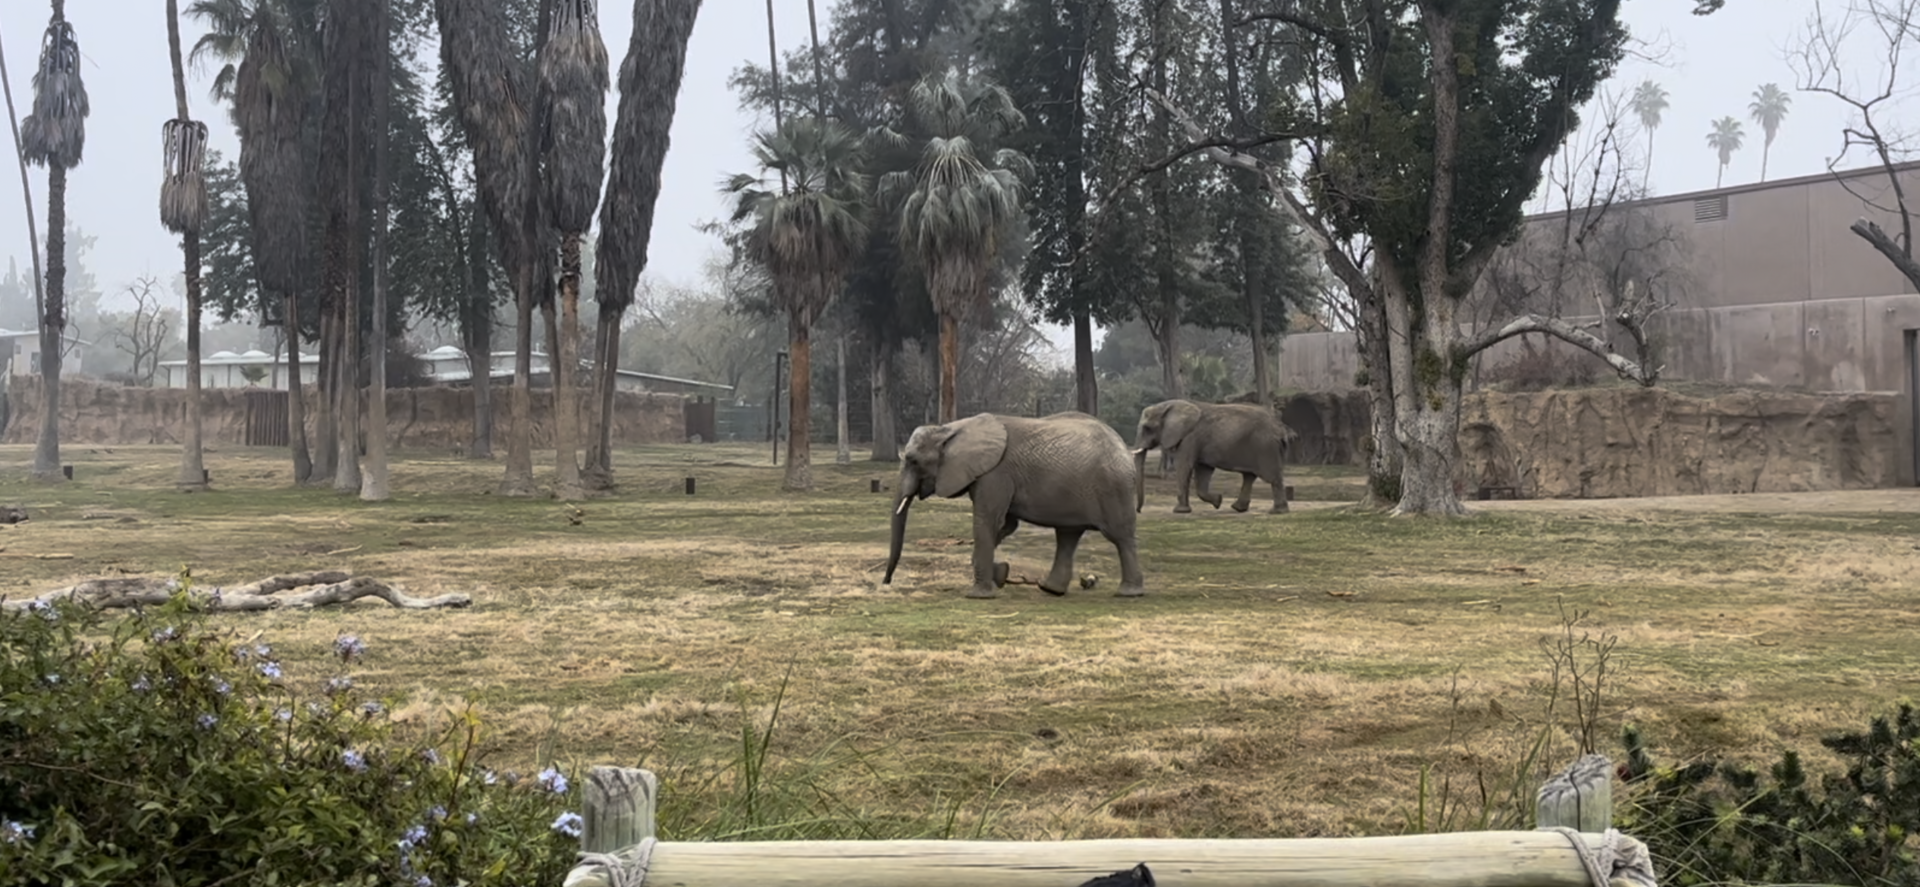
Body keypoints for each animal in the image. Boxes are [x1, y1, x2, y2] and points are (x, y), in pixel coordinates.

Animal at [883, 411, 1146, 599]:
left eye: (912, 460)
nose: (885, 583)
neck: (951, 428)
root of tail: (1123, 446)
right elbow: (1005, 525)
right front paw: (1001, 574)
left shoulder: (995, 474)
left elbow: (988, 521)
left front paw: (979, 595)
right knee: (1068, 536)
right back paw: (1050, 590)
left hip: (1113, 488)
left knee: (1120, 536)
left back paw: (1128, 593)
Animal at [1134, 399, 1296, 514]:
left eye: (1147, 428)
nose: (1139, 510)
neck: (1169, 405)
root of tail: (1281, 428)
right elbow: (1203, 471)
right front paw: (1218, 501)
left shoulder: (1190, 438)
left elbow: (1184, 467)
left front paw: (1180, 511)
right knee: (1249, 476)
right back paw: (1238, 508)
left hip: (1265, 447)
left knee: (1272, 477)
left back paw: (1277, 512)